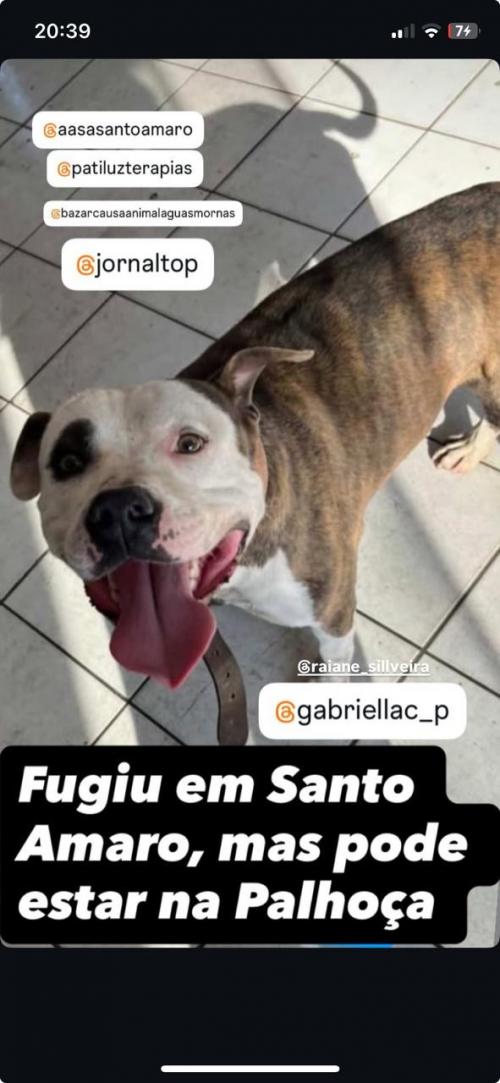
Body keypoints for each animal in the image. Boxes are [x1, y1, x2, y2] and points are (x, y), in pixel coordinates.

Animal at [10, 183, 500, 690]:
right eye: (68, 463)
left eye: (190, 443)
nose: (119, 510)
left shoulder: (332, 612)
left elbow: (333, 666)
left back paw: (469, 448)